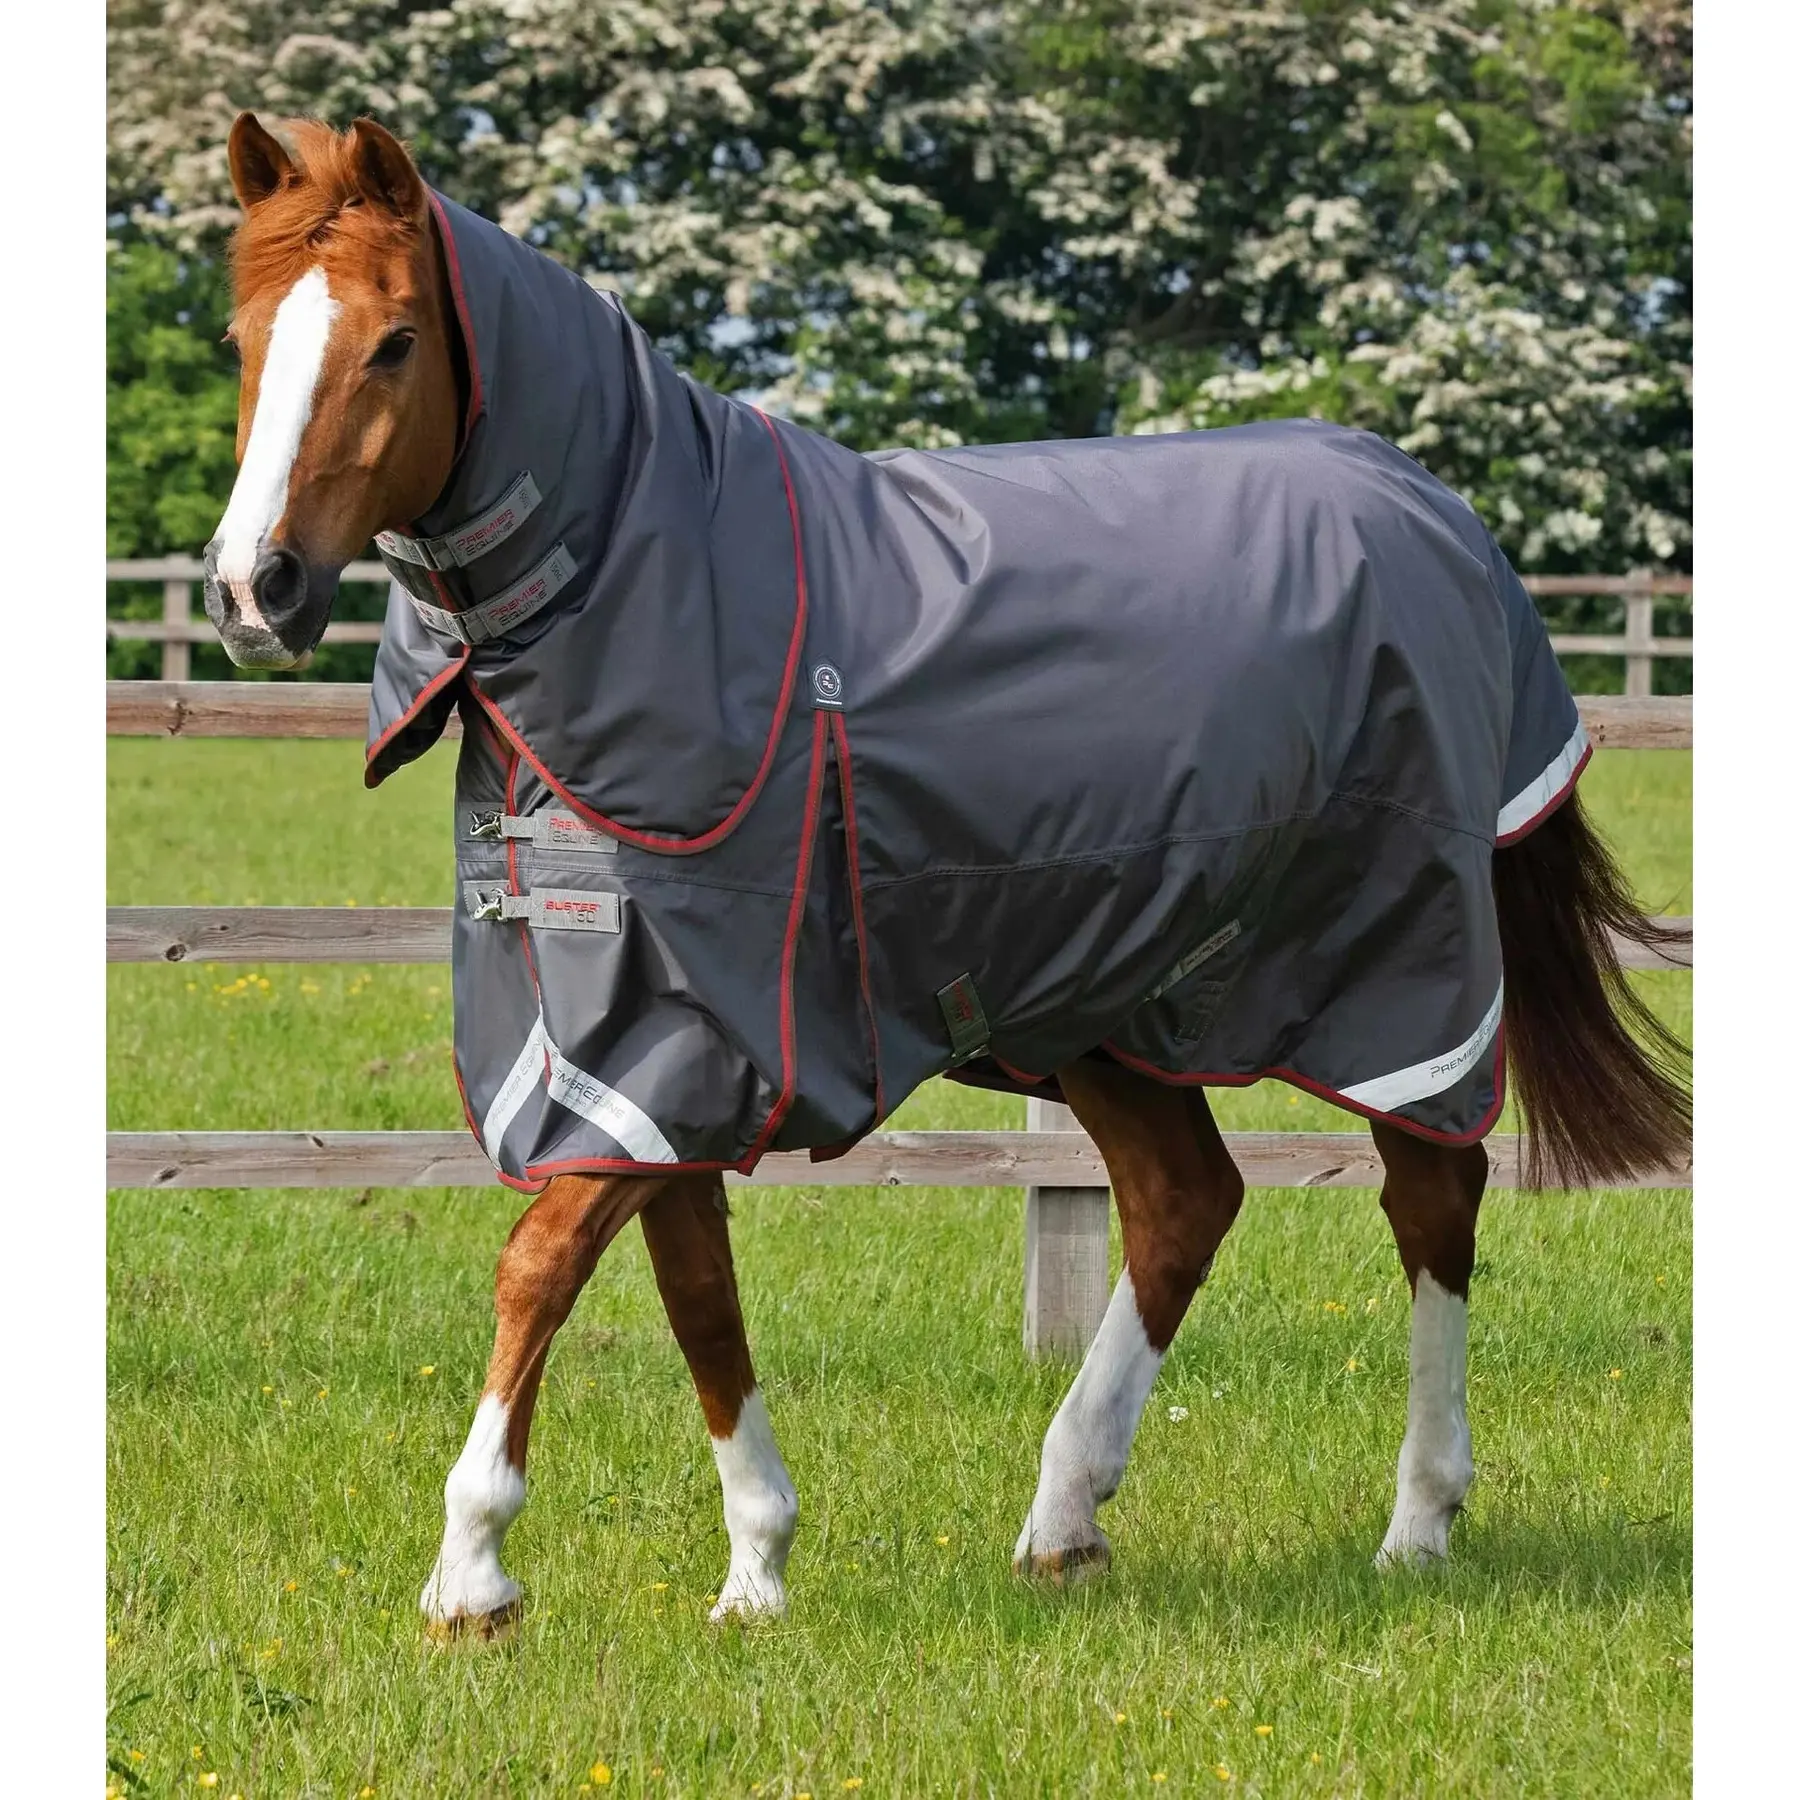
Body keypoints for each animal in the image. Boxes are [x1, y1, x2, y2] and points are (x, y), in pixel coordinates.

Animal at [202, 113, 1689, 1637]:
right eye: (241, 335)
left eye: (394, 341)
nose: (254, 590)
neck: (662, 592)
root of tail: (1441, 517)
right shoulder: (648, 1049)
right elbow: (696, 1290)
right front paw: (755, 1572)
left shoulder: (699, 1037)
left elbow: (543, 1261)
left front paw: (473, 1573)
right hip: (1106, 994)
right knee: (1183, 1202)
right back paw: (1065, 1517)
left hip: (1401, 975)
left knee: (1432, 1196)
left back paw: (1416, 1525)